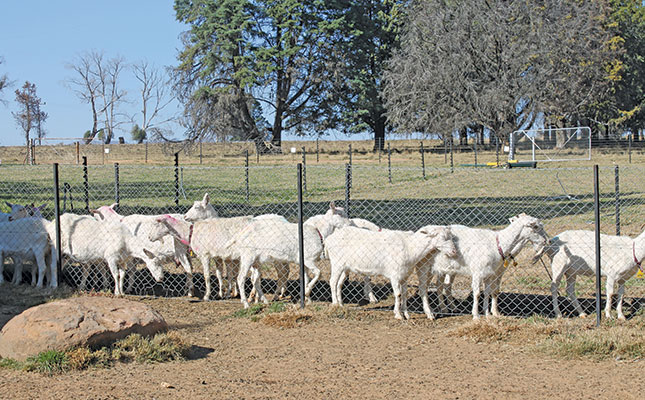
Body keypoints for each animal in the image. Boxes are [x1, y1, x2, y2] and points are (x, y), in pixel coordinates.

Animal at [328, 225, 458, 318]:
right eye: (443, 238)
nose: (454, 251)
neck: (410, 247)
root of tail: (332, 237)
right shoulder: (394, 275)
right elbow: (398, 294)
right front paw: (398, 315)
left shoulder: (405, 275)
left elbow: (404, 293)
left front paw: (406, 314)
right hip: (336, 263)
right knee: (332, 282)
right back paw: (335, 304)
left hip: (346, 267)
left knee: (339, 283)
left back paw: (341, 304)